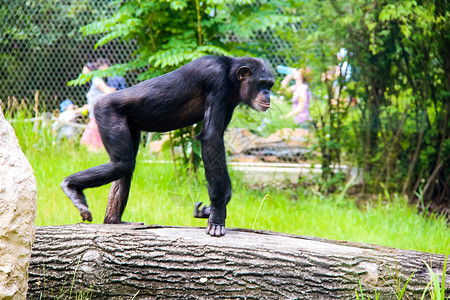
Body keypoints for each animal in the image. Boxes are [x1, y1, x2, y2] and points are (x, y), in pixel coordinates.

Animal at [61, 55, 274, 237]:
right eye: (262, 83)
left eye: (269, 84)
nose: (267, 93)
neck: (231, 78)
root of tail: (98, 103)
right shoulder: (216, 82)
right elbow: (212, 139)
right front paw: (217, 216)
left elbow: (218, 146)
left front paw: (213, 207)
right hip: (107, 113)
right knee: (121, 164)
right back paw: (71, 187)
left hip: (129, 125)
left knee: (125, 168)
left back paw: (114, 220)